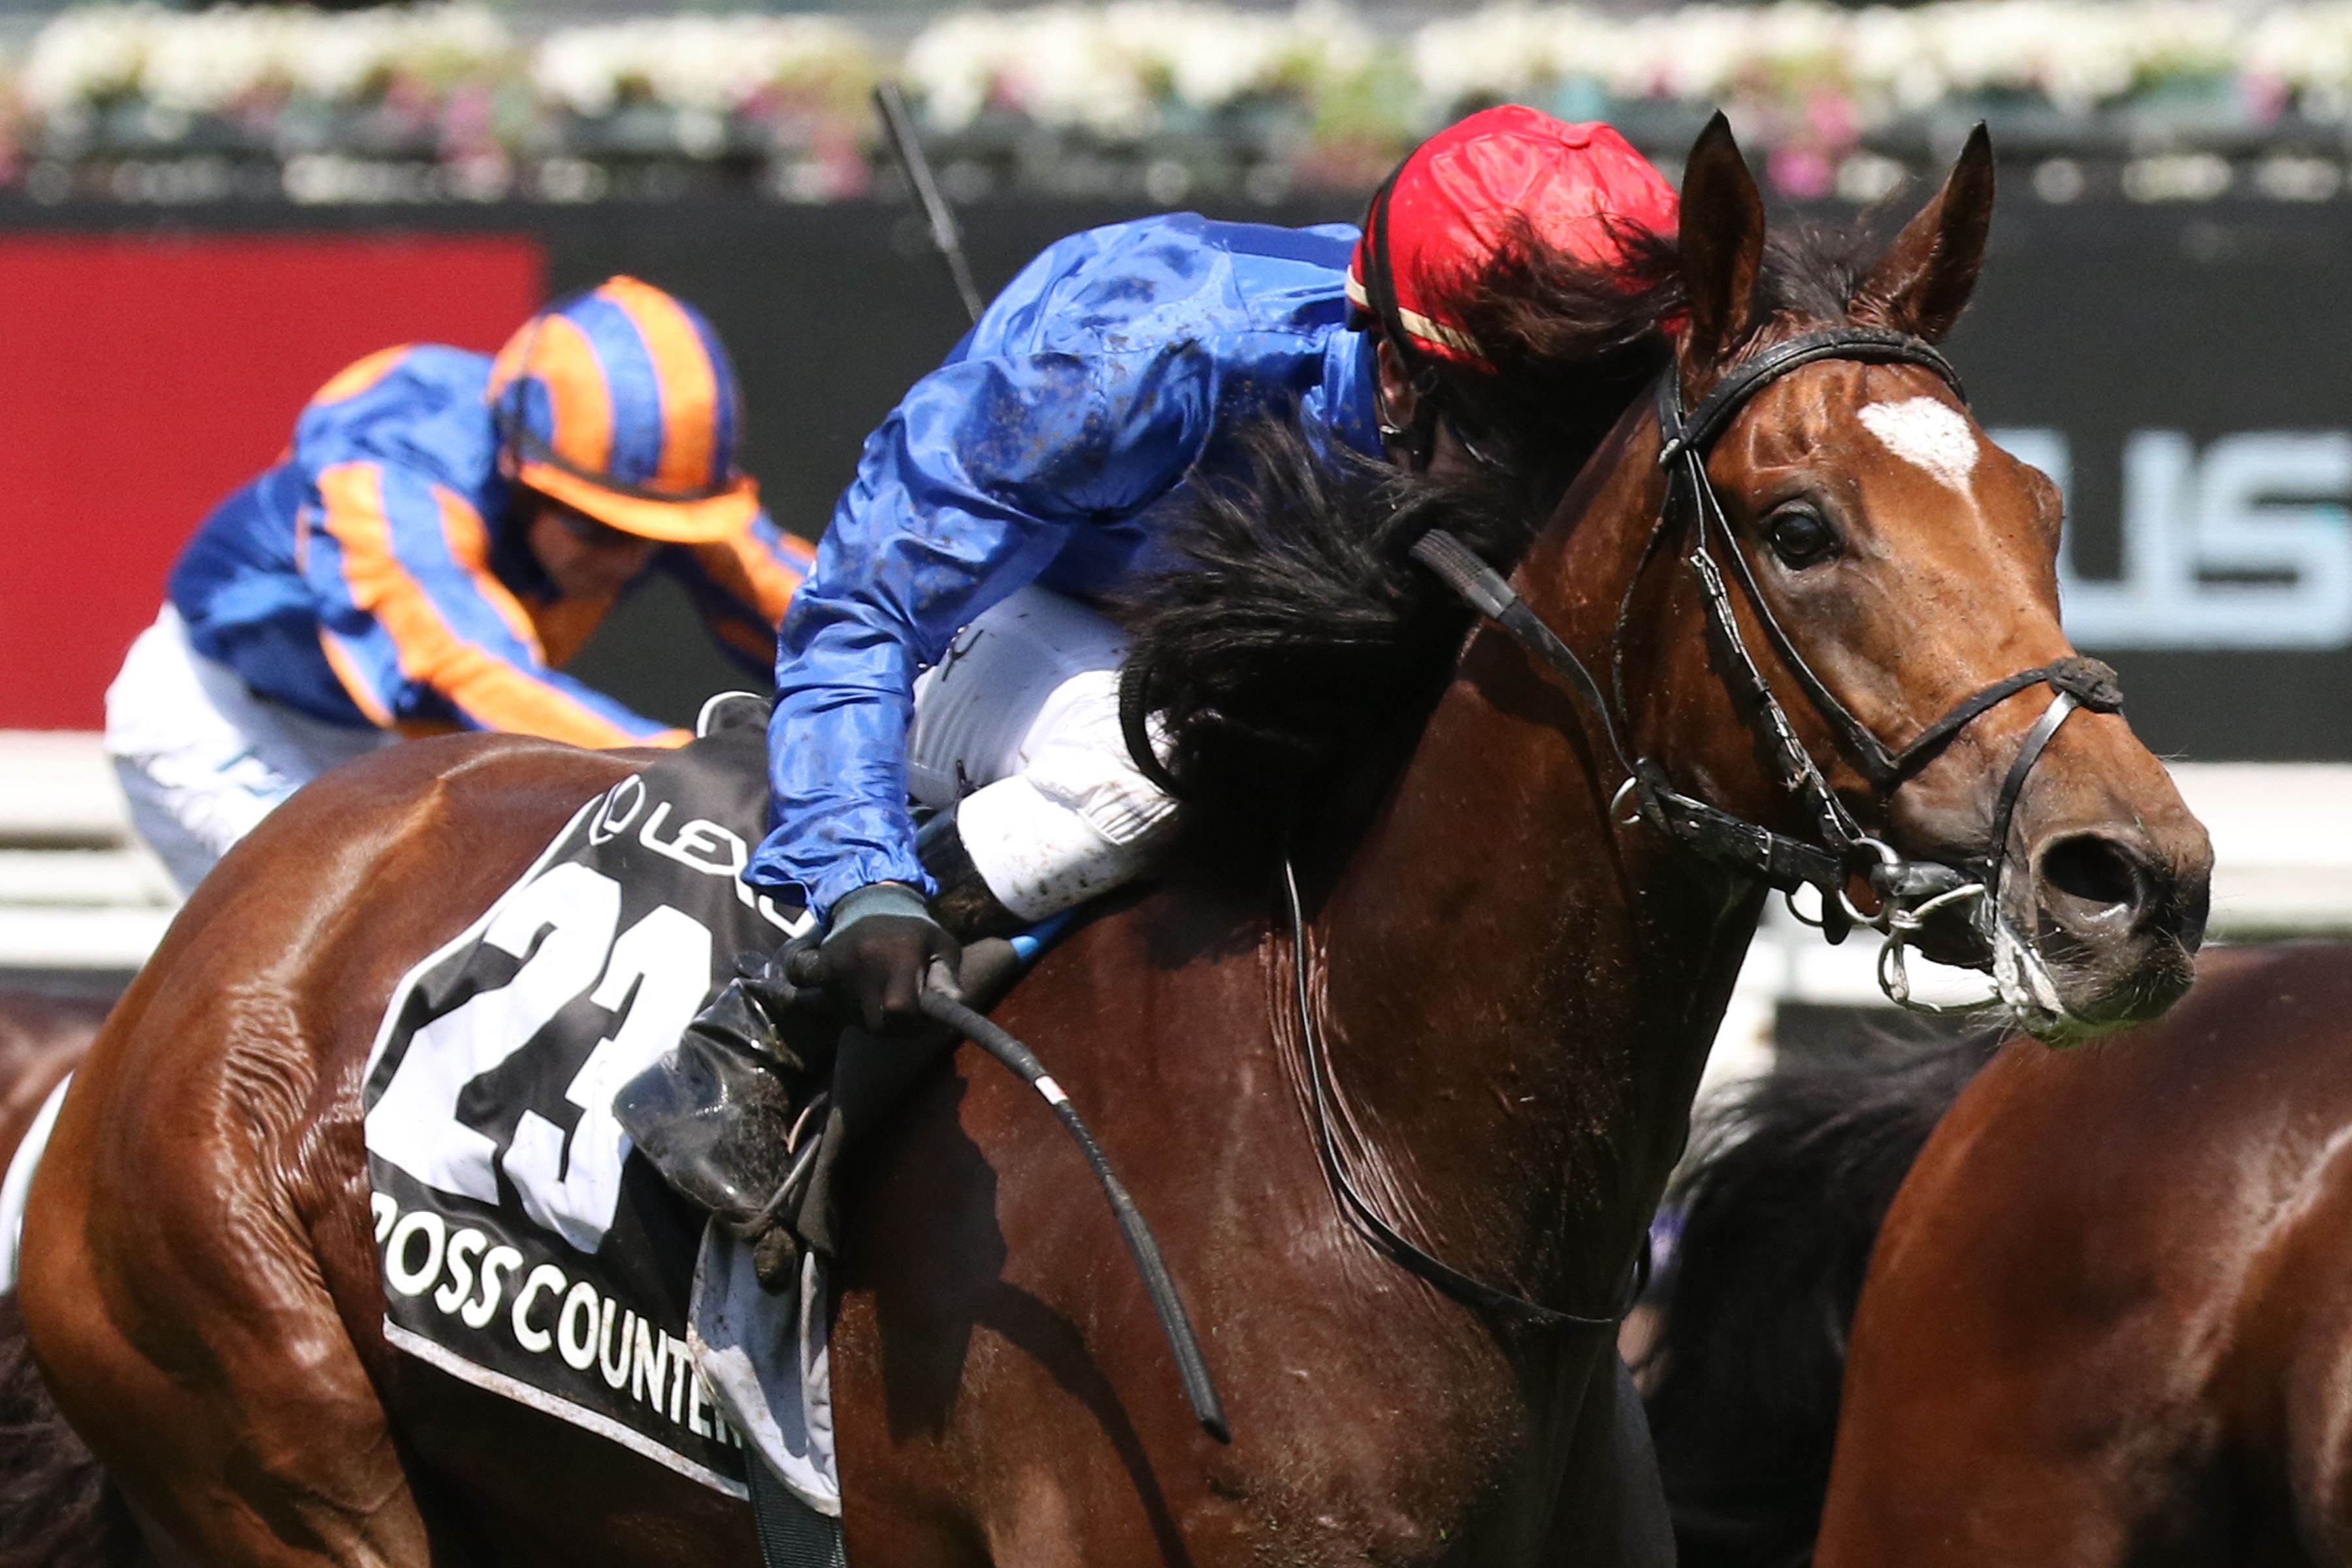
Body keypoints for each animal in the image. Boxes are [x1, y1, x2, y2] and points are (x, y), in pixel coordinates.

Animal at [11, 117, 2211, 1567]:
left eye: (2035, 505)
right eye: (1799, 525)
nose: (2134, 879)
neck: (1381, 1156)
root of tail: (223, 935)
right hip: (274, 1441)